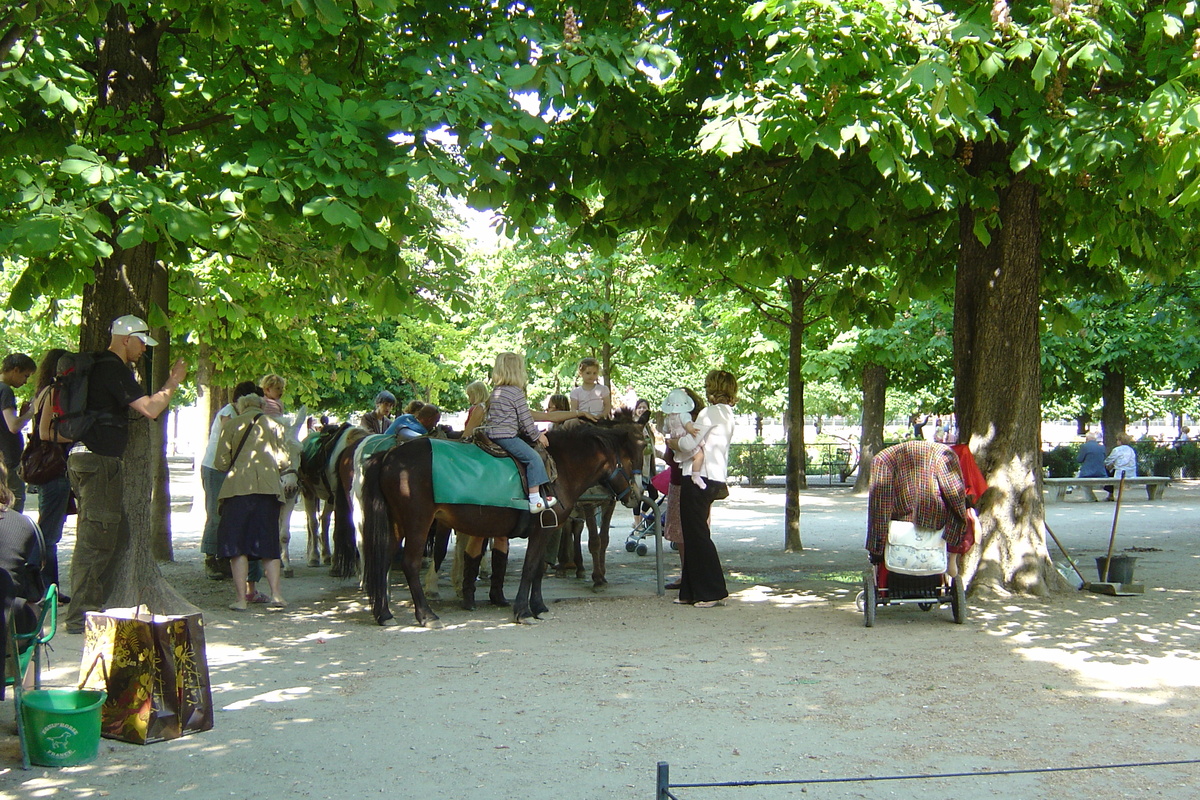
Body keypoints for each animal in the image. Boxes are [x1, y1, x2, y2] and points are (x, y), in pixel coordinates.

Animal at [357, 422, 648, 628]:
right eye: (631, 458)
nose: (638, 496)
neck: (560, 467)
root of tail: (389, 456)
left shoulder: (546, 533)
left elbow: (538, 569)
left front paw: (538, 607)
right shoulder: (541, 531)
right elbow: (530, 568)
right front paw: (523, 611)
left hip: (396, 525)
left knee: (383, 560)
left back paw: (384, 614)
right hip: (417, 523)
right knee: (409, 563)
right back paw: (426, 615)